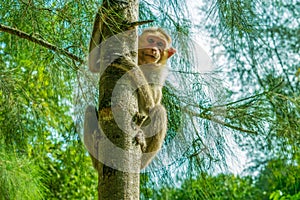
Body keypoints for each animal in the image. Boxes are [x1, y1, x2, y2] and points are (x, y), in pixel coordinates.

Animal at [83, 27, 176, 169]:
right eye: (151, 40)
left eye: (160, 44)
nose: (154, 49)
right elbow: (93, 65)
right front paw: (103, 19)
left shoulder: (158, 70)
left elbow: (150, 105)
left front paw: (129, 65)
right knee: (89, 110)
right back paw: (96, 144)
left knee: (159, 110)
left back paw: (142, 145)